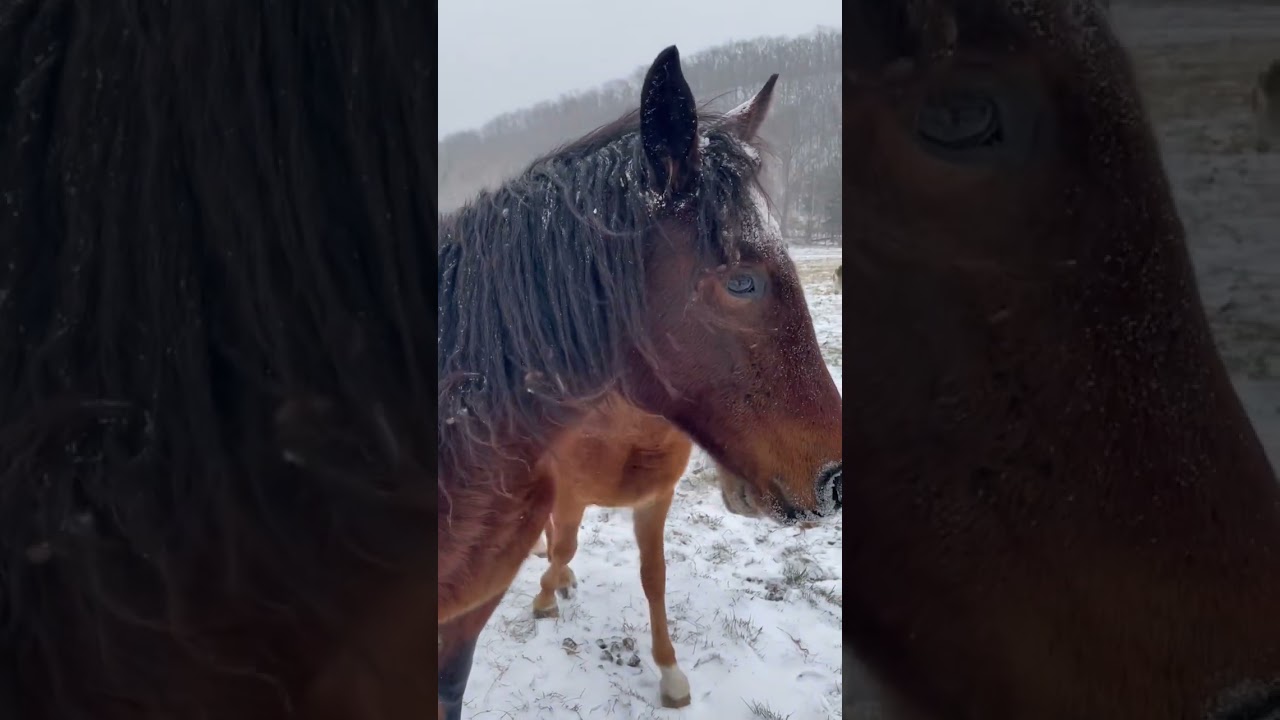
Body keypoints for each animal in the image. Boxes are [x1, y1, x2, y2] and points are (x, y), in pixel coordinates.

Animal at [525, 393, 695, 708]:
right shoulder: (570, 491)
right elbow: (567, 548)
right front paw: (544, 600)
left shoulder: (655, 500)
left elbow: (654, 576)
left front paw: (671, 675)